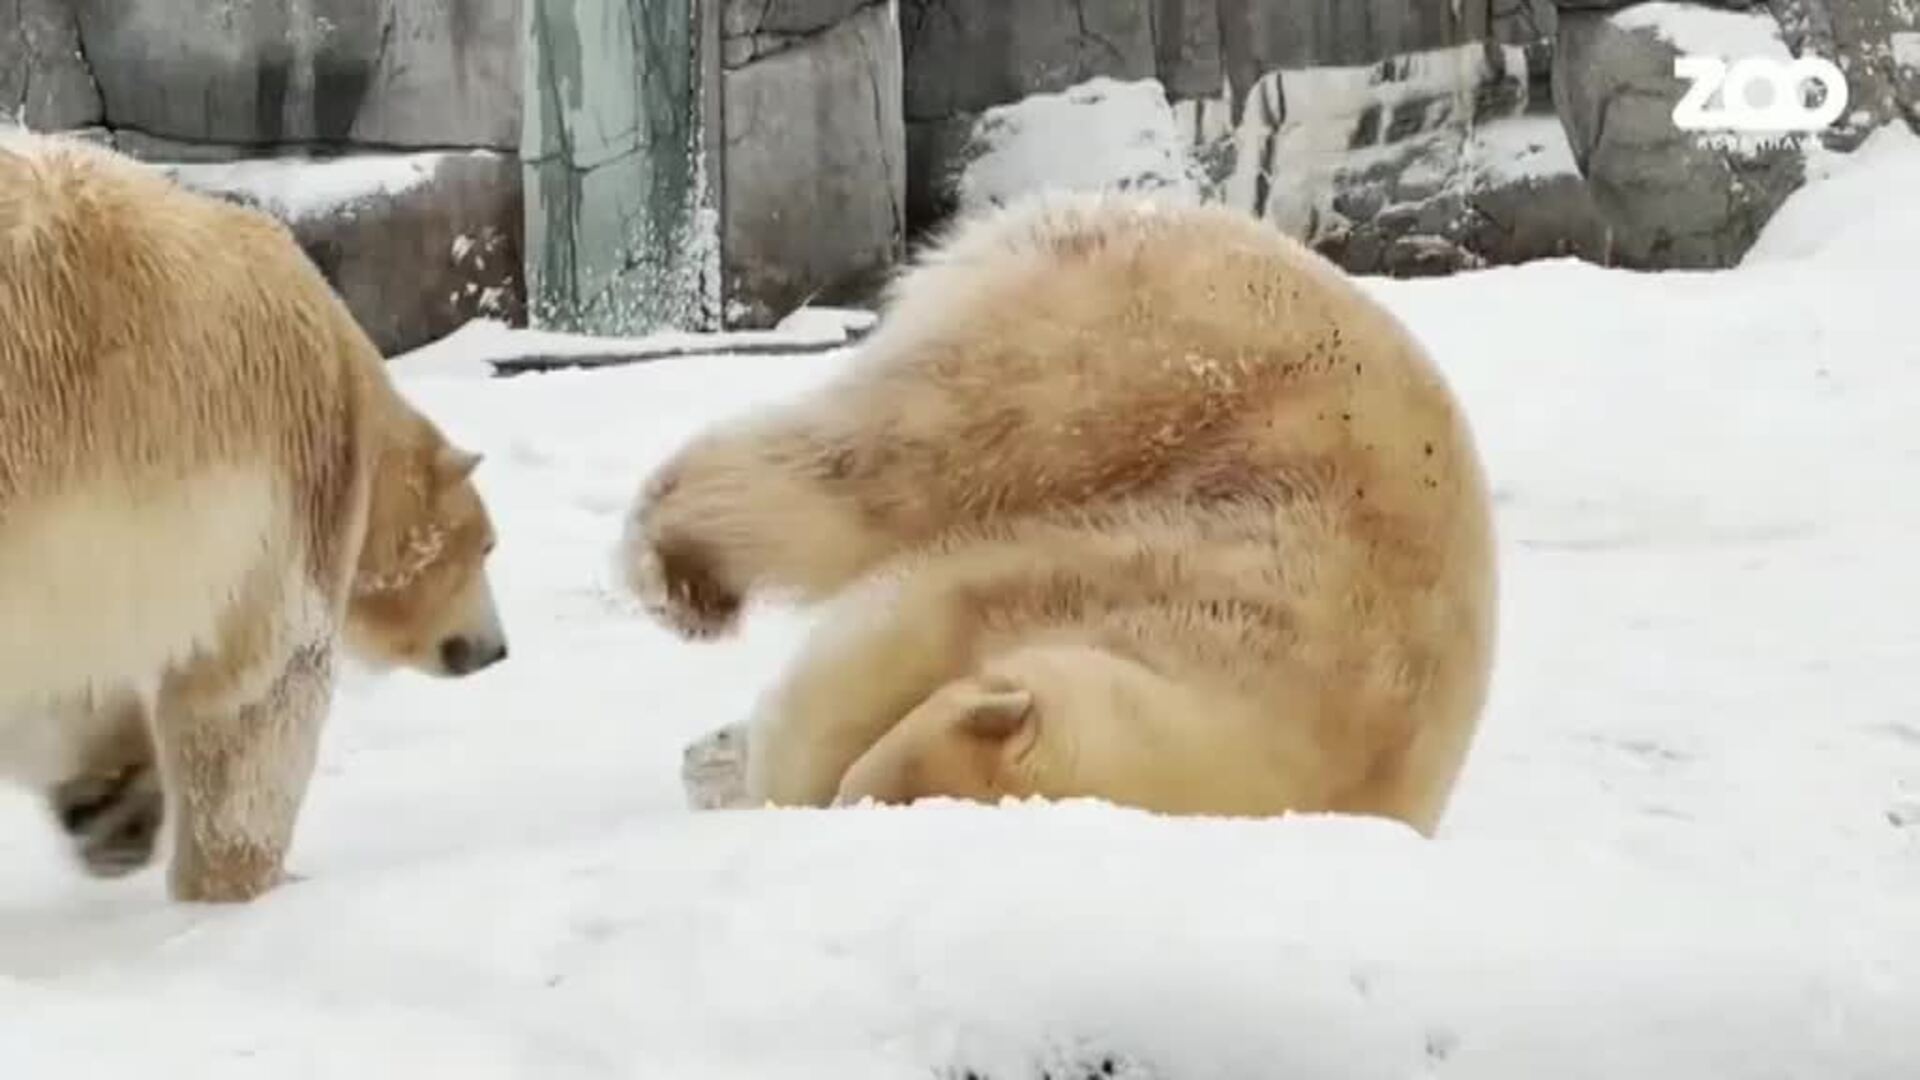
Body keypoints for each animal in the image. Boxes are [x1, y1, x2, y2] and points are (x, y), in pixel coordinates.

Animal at [0, 131, 509, 901]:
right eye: (486, 547)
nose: (495, 648)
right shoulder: (288, 489)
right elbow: (258, 689)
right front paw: (236, 881)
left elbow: (53, 680)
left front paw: (121, 810)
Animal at [627, 191, 1496, 836]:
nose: (843, 813)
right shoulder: (1158, 577)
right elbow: (906, 622)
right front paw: (751, 764)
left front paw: (721, 761)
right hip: (1106, 363)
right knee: (900, 462)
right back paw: (682, 578)